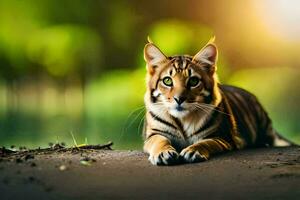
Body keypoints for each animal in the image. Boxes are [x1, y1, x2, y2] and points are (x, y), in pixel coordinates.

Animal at [143, 37, 292, 166]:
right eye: (168, 81)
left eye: (193, 81)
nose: (179, 99)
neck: (183, 119)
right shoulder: (154, 134)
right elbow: (159, 141)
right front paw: (163, 153)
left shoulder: (221, 137)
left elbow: (205, 142)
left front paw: (193, 151)